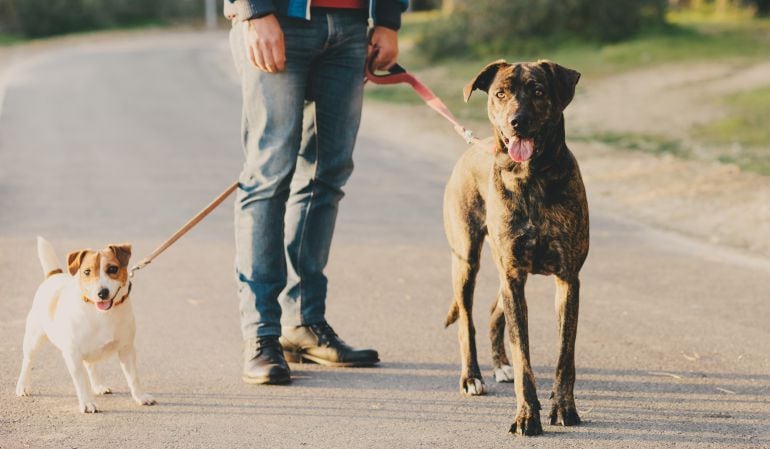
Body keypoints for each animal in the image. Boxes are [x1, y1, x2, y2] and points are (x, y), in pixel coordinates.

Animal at [16, 236, 154, 412]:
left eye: (113, 269)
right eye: (87, 272)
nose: (102, 293)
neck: (101, 314)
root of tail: (54, 275)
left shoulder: (126, 349)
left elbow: (134, 377)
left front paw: (140, 397)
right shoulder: (73, 354)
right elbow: (81, 382)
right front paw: (87, 403)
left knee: (91, 365)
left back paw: (98, 386)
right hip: (33, 340)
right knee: (27, 362)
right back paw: (22, 386)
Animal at [440, 59, 584, 434]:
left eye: (538, 90)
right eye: (500, 93)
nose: (516, 121)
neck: (530, 176)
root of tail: (473, 146)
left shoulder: (567, 279)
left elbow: (565, 356)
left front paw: (563, 407)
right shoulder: (514, 276)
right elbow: (524, 359)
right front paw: (526, 415)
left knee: (494, 312)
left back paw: (499, 365)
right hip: (467, 261)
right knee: (466, 322)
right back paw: (472, 377)